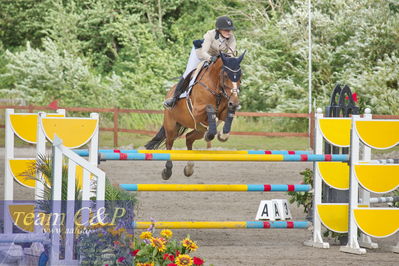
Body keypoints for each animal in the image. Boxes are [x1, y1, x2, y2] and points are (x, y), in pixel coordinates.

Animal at [145, 51, 245, 180]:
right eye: (226, 76)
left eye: (240, 76)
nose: (235, 102)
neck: (215, 86)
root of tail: (169, 92)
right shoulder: (197, 111)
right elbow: (210, 108)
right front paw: (212, 133)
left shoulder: (223, 111)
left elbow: (228, 116)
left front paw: (222, 135)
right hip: (171, 126)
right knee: (169, 143)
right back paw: (167, 171)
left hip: (198, 129)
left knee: (189, 138)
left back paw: (189, 168)